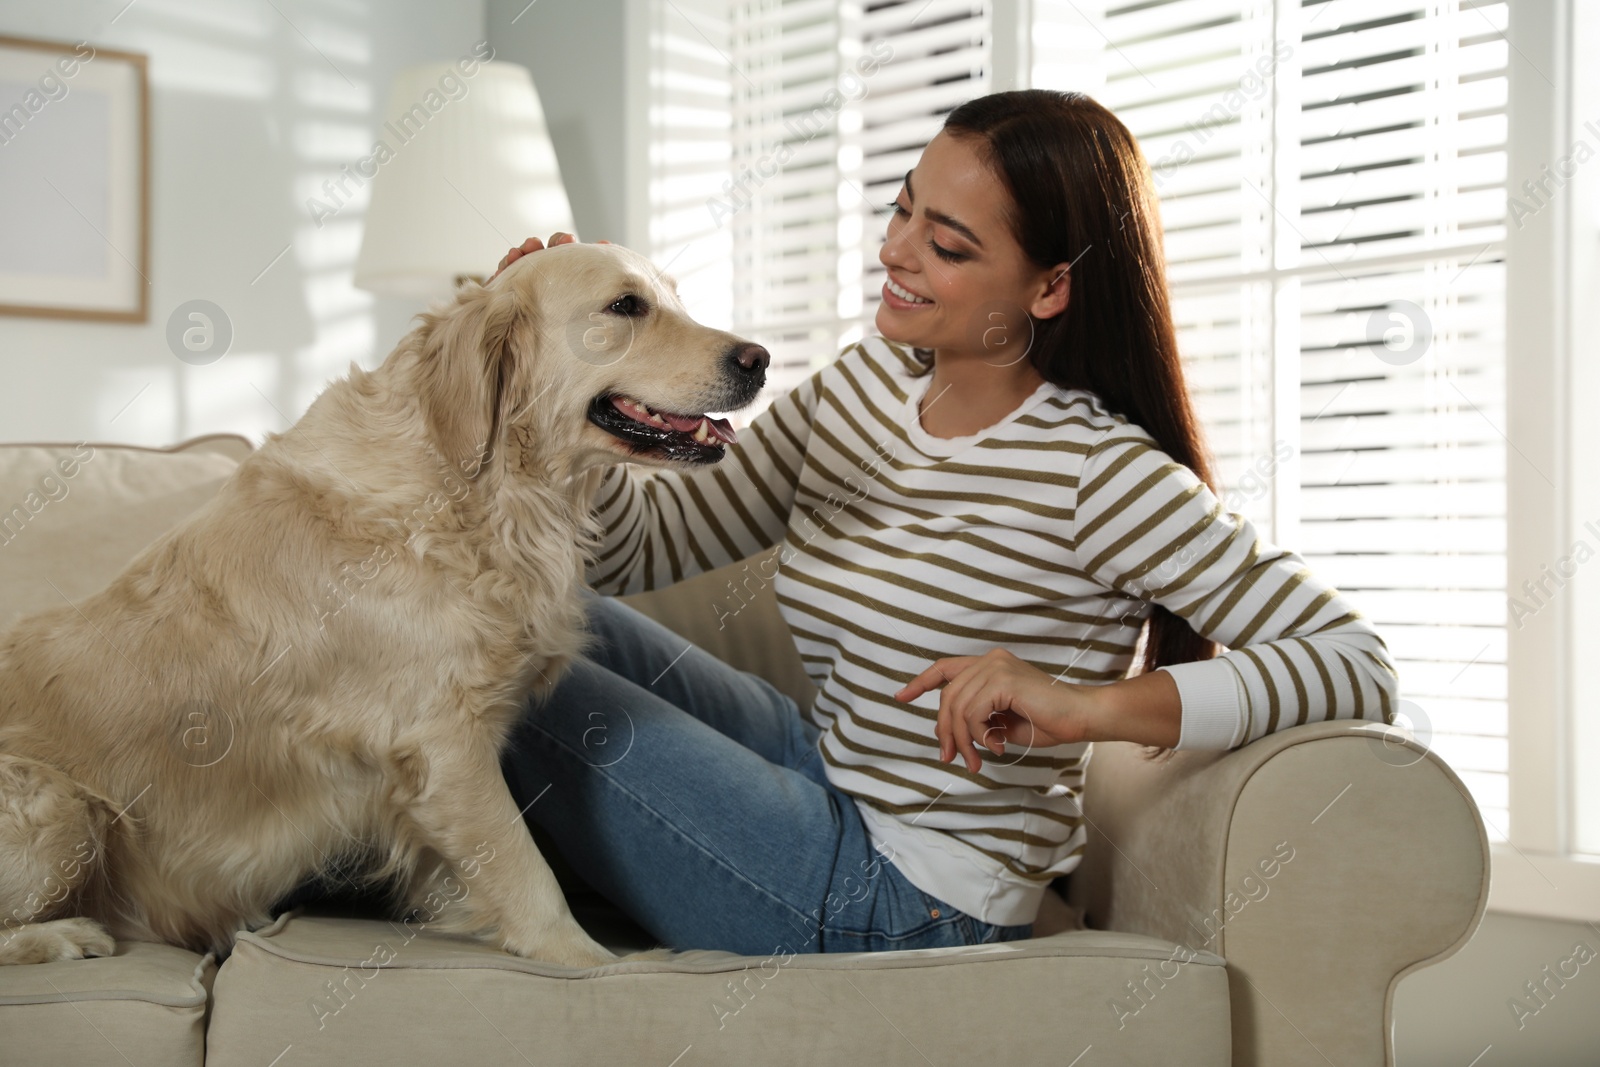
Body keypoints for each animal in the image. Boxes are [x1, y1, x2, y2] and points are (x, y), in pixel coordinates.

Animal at [0, 241, 768, 966]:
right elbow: (528, 873)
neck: (479, 489)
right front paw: (594, 962)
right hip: (60, 803)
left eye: (675, 298)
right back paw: (67, 936)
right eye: (625, 306)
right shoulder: (443, 743)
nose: (759, 359)